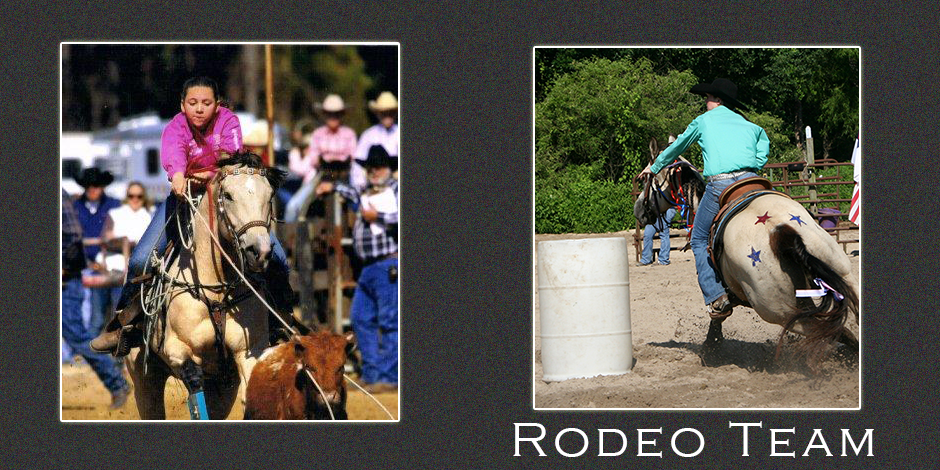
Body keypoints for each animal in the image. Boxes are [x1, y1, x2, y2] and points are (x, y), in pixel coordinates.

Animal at [125, 153, 286, 418]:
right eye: (228, 195)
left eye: (270, 195)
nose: (260, 251)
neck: (217, 291)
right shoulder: (177, 349)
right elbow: (193, 380)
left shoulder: (249, 351)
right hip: (143, 380)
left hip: (222, 389)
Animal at [640, 139, 860, 368]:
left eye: (646, 179)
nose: (639, 210)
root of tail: (779, 232)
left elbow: (718, 315)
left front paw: (711, 350)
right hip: (842, 274)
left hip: (781, 312)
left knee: (836, 331)